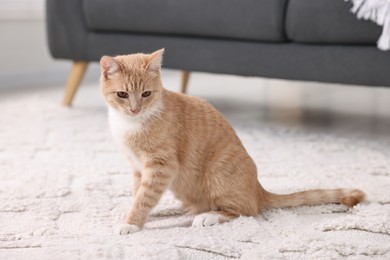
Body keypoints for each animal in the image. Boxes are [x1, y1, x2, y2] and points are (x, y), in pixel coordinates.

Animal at [99, 49, 364, 236]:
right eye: (122, 94)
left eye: (146, 94)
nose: (135, 109)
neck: (131, 124)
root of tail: (258, 190)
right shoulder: (137, 167)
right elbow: (139, 193)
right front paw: (136, 214)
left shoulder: (161, 166)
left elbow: (145, 196)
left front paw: (132, 223)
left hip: (219, 171)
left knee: (245, 210)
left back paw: (209, 216)